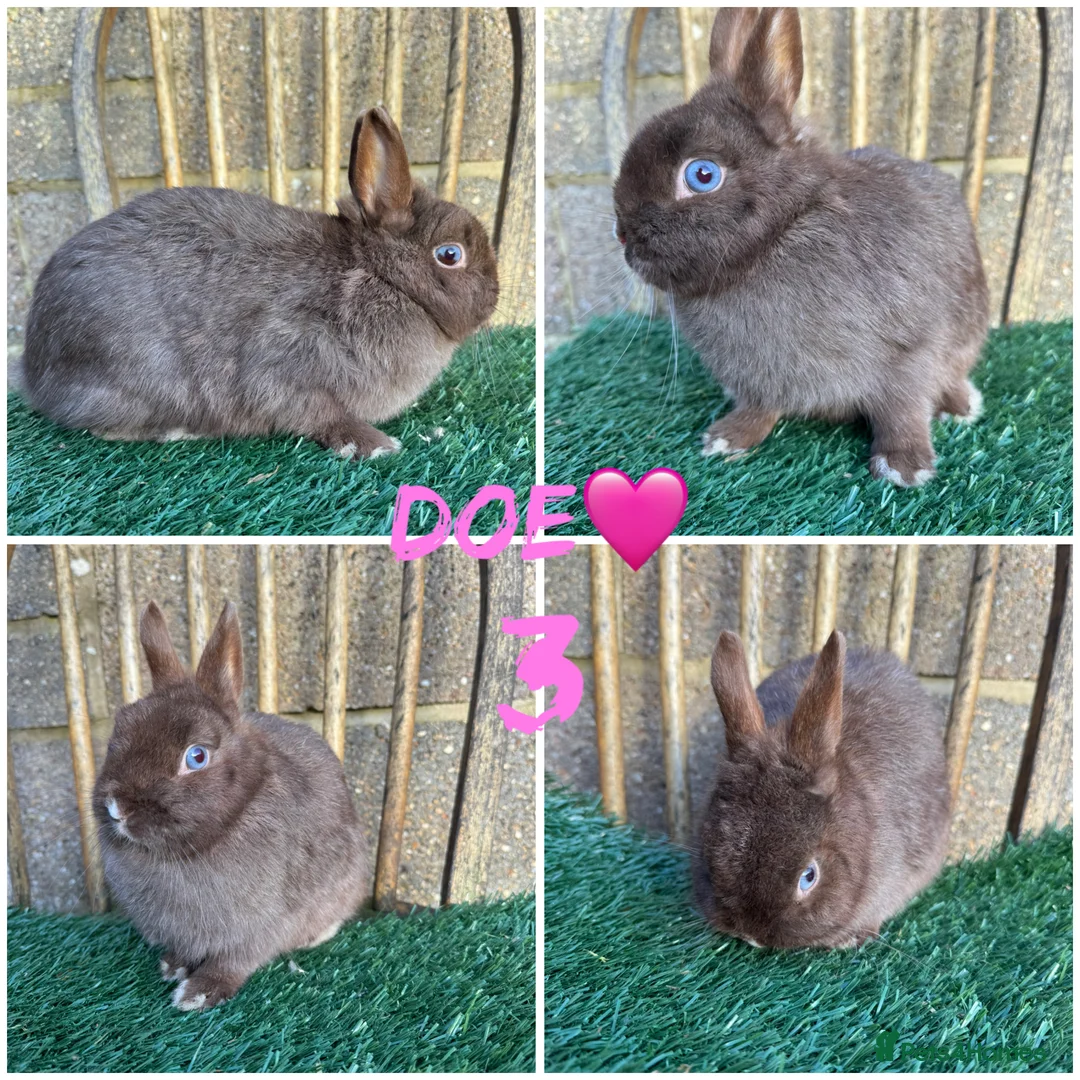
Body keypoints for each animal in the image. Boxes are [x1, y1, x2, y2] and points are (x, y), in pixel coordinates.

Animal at [19, 107, 498, 460]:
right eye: (450, 254)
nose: (495, 297)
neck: (380, 276)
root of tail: (33, 372)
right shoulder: (290, 359)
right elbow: (319, 414)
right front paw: (375, 445)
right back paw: (179, 432)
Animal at [93, 600, 368, 1010]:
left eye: (197, 756)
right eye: (117, 735)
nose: (117, 809)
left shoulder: (260, 926)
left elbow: (234, 961)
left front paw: (197, 993)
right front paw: (173, 967)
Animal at [613, 8, 989, 487]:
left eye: (702, 175)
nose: (622, 234)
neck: (779, 237)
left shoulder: (910, 353)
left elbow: (902, 410)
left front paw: (904, 467)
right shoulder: (759, 381)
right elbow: (759, 408)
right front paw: (727, 439)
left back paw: (961, 406)